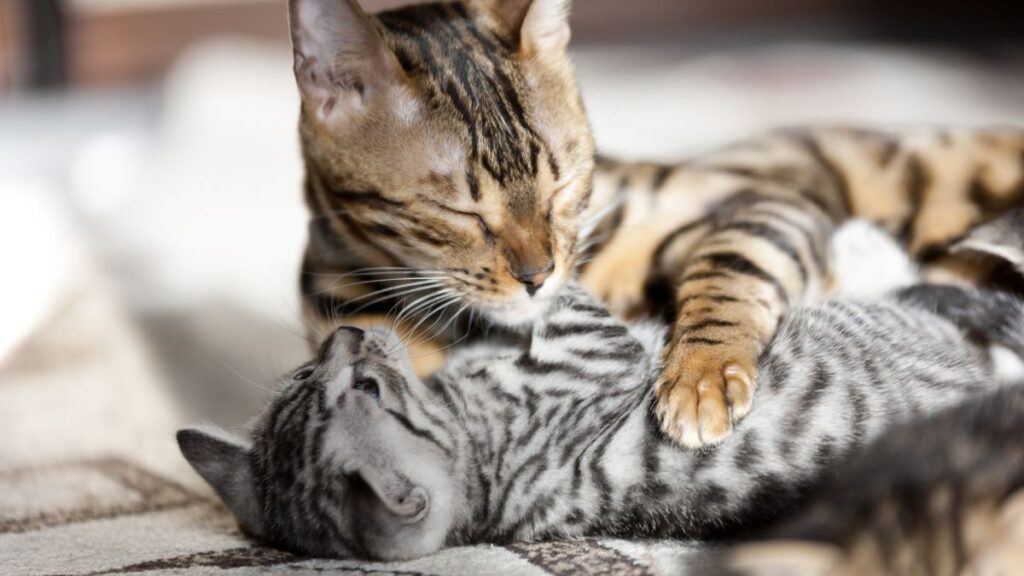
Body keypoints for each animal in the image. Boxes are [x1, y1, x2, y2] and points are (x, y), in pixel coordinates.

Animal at [290, 0, 1024, 444]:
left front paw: (702, 374)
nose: (537, 276)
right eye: (457, 210)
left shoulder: (766, 200)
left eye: (564, 183)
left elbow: (731, 270)